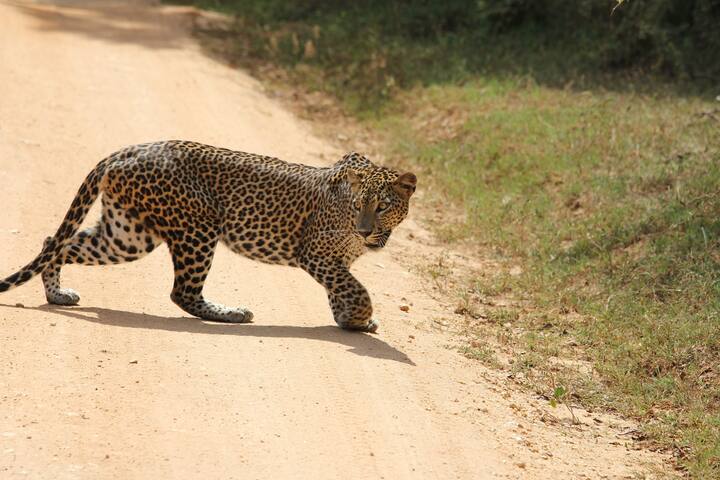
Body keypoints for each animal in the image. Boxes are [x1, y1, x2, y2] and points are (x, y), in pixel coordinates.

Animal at [0, 141, 416, 332]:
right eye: (360, 206)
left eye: (381, 207)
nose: (365, 230)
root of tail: (127, 150)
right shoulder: (316, 253)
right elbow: (355, 289)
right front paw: (360, 317)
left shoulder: (336, 261)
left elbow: (340, 289)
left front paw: (350, 321)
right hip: (197, 227)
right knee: (182, 292)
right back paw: (231, 313)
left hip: (127, 235)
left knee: (57, 243)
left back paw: (57, 295)